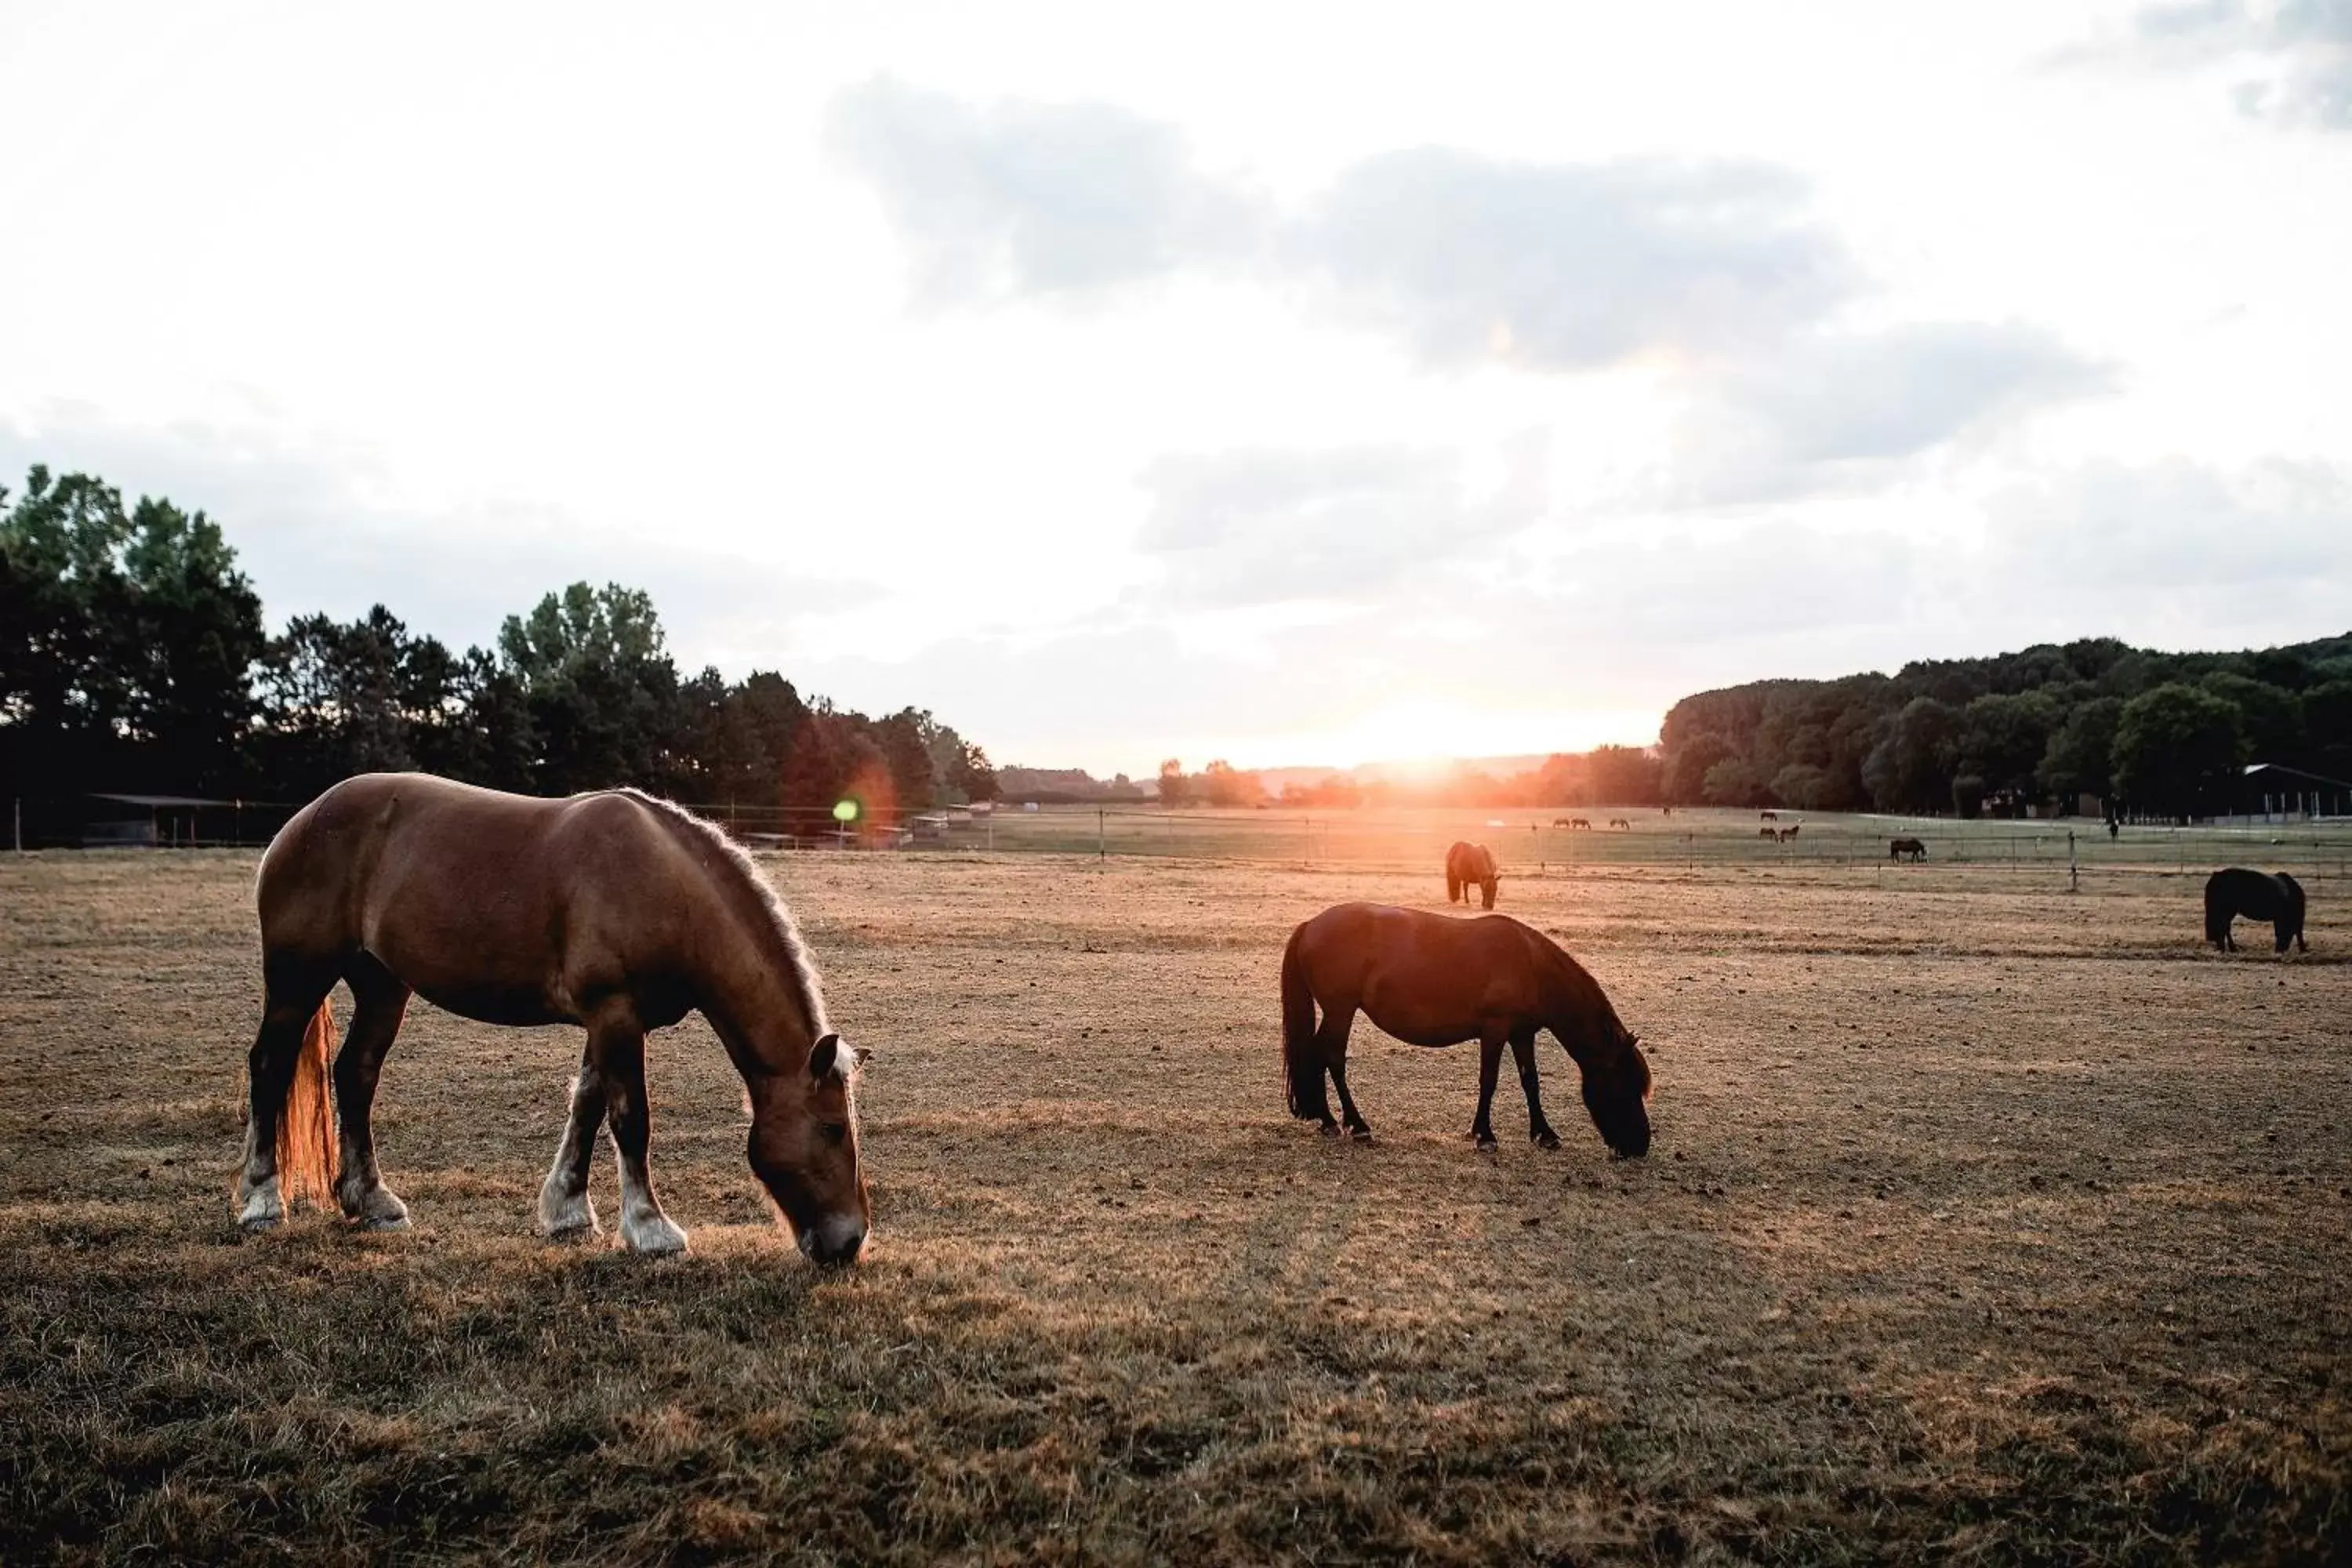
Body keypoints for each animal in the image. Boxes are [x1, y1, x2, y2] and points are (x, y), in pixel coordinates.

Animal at [238, 780, 875, 1269]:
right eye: (831, 1130)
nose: (850, 1242)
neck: (664, 887)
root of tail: (305, 818)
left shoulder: (609, 1022)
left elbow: (588, 1106)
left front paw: (568, 1211)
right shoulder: (615, 1012)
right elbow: (630, 1118)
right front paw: (650, 1228)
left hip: (382, 985)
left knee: (356, 1075)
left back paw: (370, 1200)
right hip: (298, 980)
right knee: (270, 1067)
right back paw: (262, 1200)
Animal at [1289, 907, 1656, 1152]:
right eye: (1624, 1083)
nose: (1640, 1145)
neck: (1532, 968)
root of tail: (1311, 925)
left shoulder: (1522, 1034)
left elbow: (1531, 1082)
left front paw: (1544, 1133)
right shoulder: (1495, 1030)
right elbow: (1489, 1081)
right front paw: (1484, 1135)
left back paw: (1329, 1119)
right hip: (1341, 1011)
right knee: (1331, 1058)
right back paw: (1350, 1123)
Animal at [2201, 869, 2314, 959]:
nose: (2279, 951)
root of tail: (2217, 876)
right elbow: (2295, 932)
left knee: (2224, 928)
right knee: (2223, 928)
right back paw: (2227, 948)